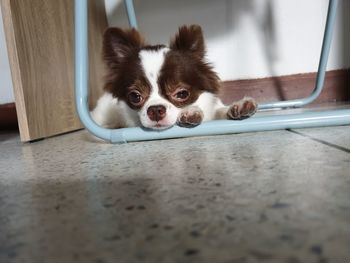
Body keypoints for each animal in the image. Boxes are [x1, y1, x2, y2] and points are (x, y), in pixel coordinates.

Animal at [91, 24, 258, 130]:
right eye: (135, 96)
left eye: (182, 94)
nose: (155, 110)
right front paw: (191, 111)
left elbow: (220, 111)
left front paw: (238, 106)